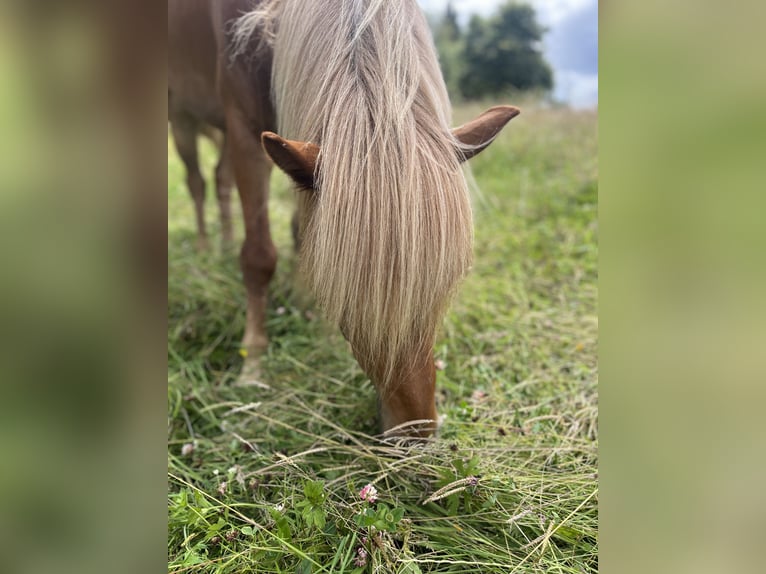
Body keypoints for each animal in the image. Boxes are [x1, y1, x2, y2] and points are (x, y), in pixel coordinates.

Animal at [168, 0, 519, 437]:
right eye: (350, 305)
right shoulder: (243, 127)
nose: (417, 432)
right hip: (182, 117)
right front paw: (253, 362)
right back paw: (204, 247)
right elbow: (259, 255)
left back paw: (222, 242)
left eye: (446, 283)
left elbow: (301, 234)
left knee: (218, 180)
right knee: (197, 182)